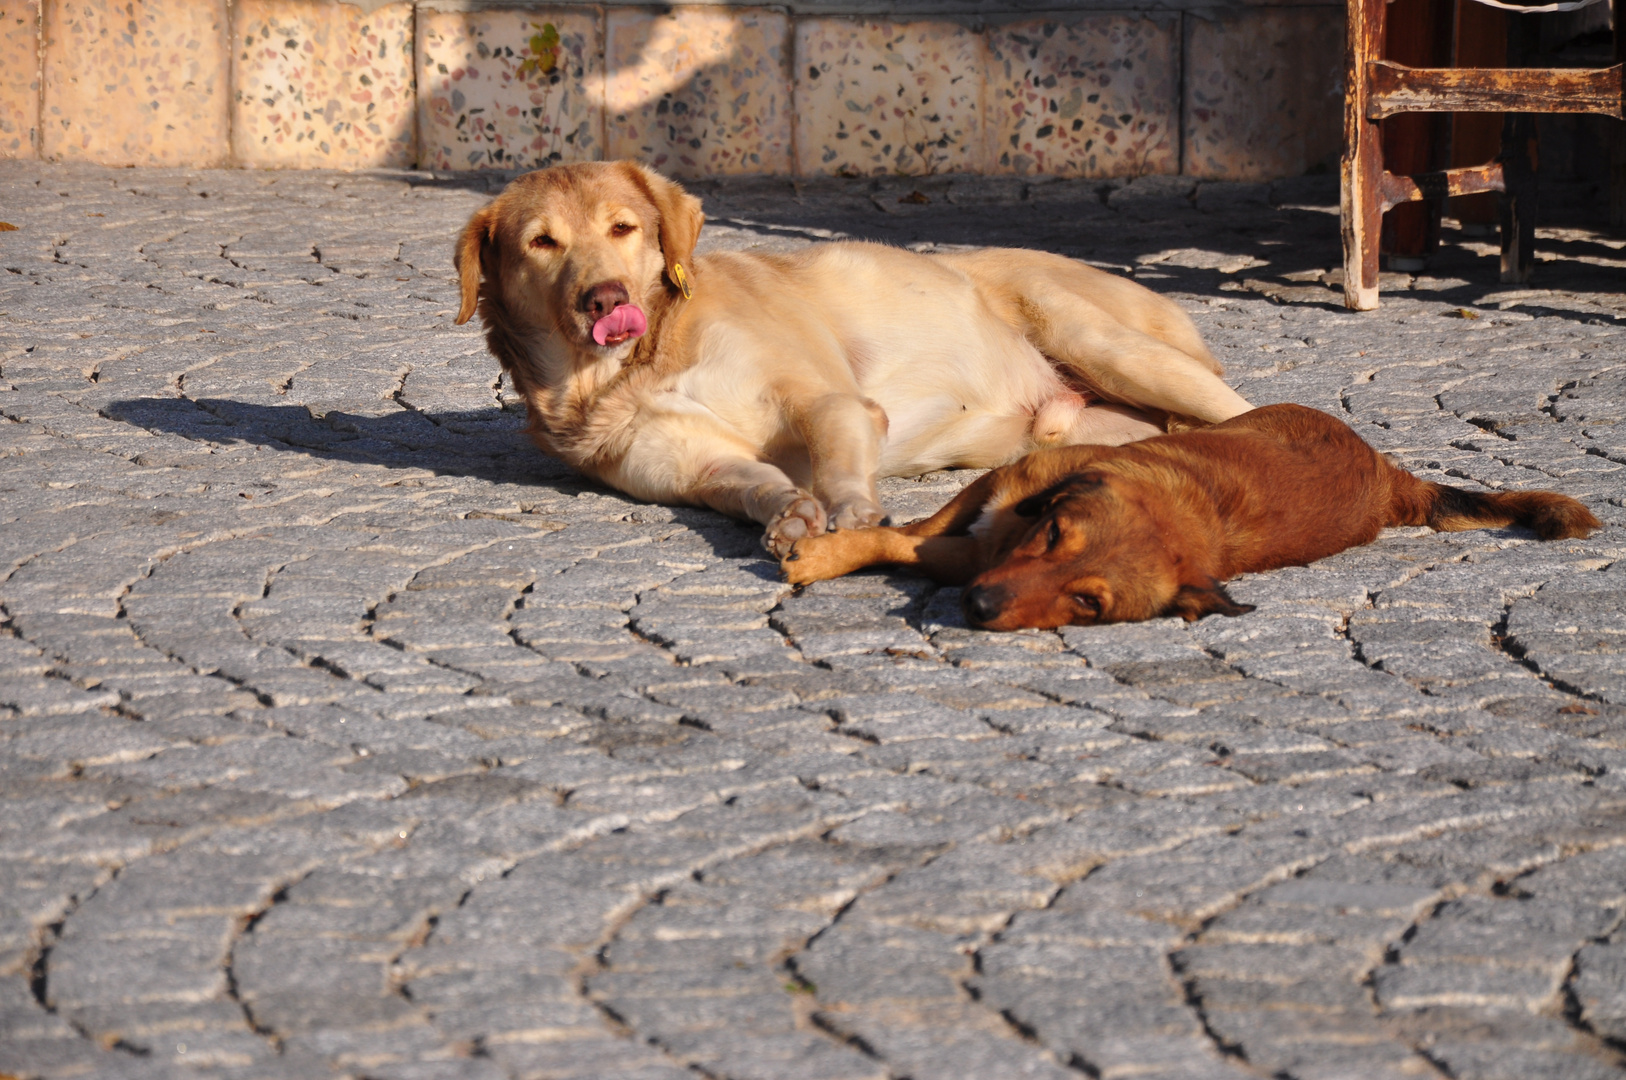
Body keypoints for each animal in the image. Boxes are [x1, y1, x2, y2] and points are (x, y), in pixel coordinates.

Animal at [458, 160, 1255, 556]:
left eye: (623, 228)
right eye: (542, 242)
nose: (605, 298)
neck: (634, 367)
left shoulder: (827, 401)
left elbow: (839, 459)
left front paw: (851, 512)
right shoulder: (698, 469)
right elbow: (758, 486)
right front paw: (793, 516)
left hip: (1102, 342)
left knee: (1254, 414)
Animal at [773, 405, 1599, 627]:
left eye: (1088, 604)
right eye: (1051, 535)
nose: (977, 609)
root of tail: (1387, 473)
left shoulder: (974, 556)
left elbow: (903, 546)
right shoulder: (992, 498)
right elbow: (903, 535)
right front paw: (824, 547)